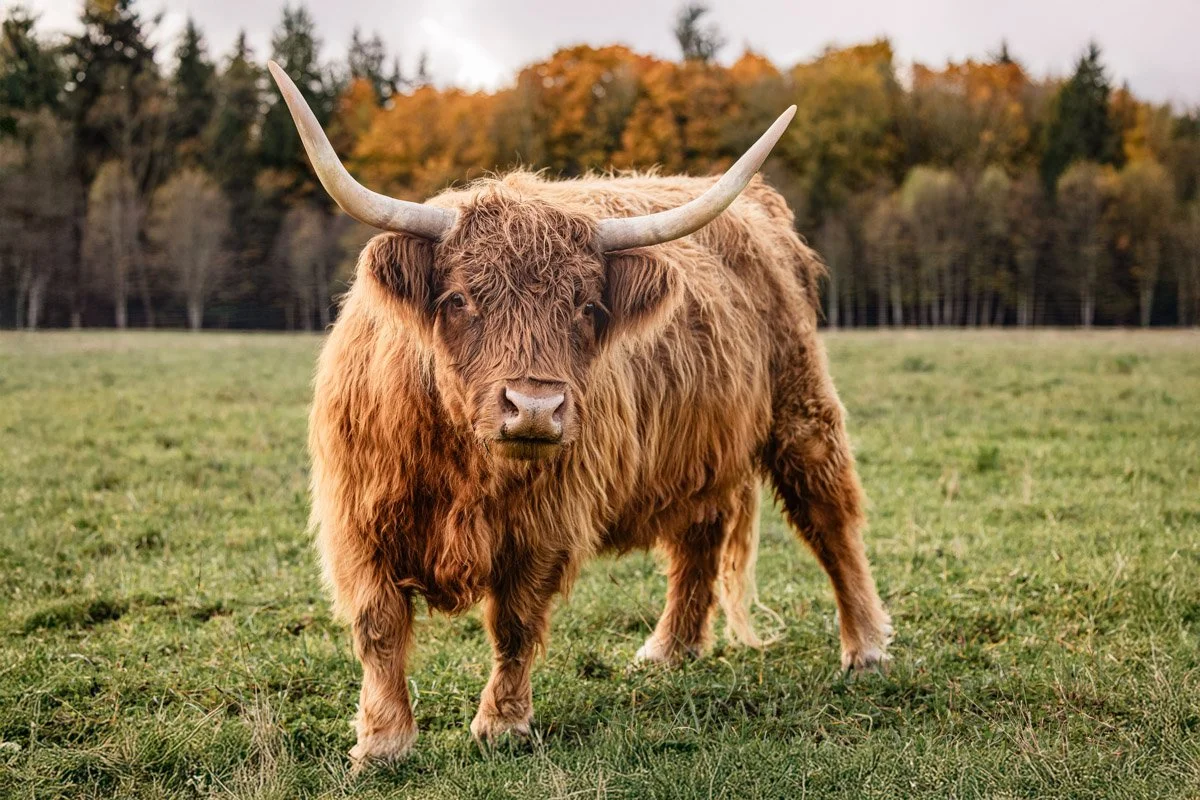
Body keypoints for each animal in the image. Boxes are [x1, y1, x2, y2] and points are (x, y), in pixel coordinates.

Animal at [268, 61, 892, 766]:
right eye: (458, 299)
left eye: (588, 308)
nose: (535, 407)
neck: (464, 464)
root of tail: (759, 207)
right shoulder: (358, 519)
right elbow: (379, 625)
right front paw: (382, 741)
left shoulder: (546, 522)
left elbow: (515, 620)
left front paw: (502, 724)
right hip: (698, 447)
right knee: (699, 533)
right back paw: (670, 649)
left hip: (800, 407)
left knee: (829, 516)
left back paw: (865, 648)